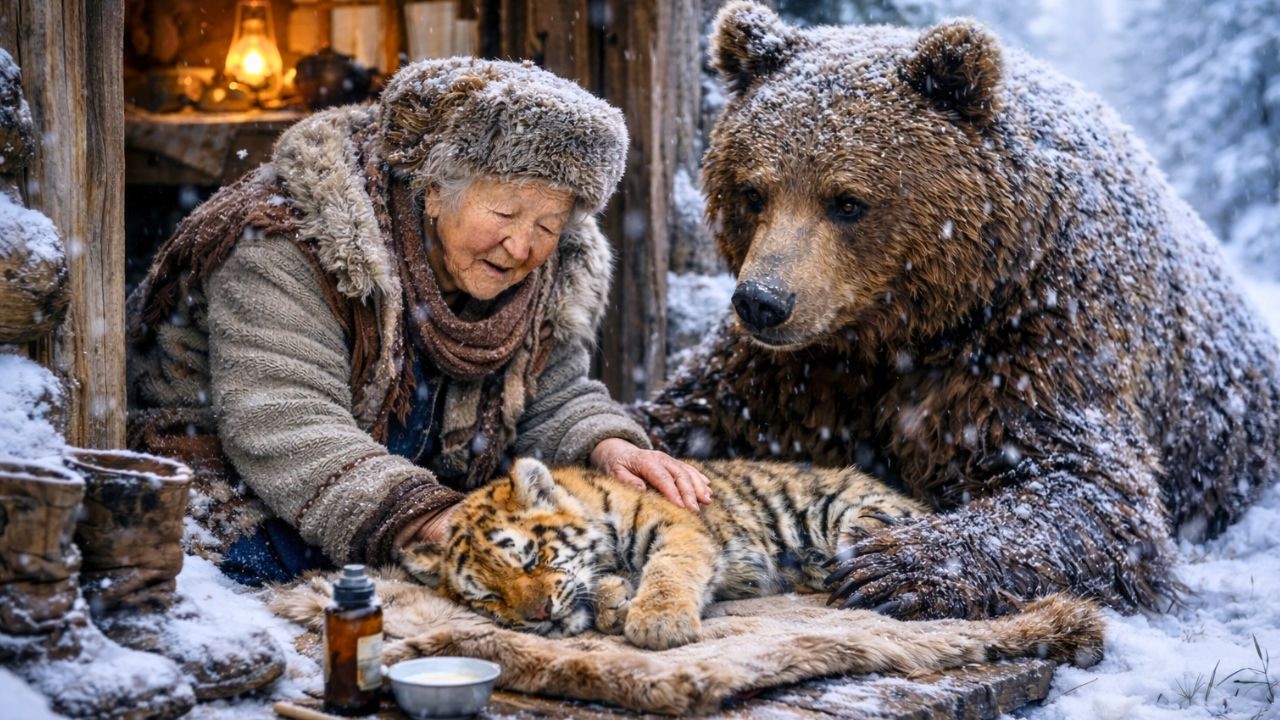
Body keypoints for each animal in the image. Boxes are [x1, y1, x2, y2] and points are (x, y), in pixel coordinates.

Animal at [402, 457, 928, 650]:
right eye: (488, 597)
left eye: (531, 559)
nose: (540, 616)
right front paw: (613, 602)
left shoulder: (679, 530)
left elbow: (669, 571)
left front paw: (657, 622)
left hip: (846, 515)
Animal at [630, 1, 1280, 621]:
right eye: (753, 191)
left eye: (847, 201)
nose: (763, 303)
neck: (907, 324)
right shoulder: (795, 367)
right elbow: (690, 410)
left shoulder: (1038, 334)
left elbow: (1087, 488)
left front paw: (891, 569)